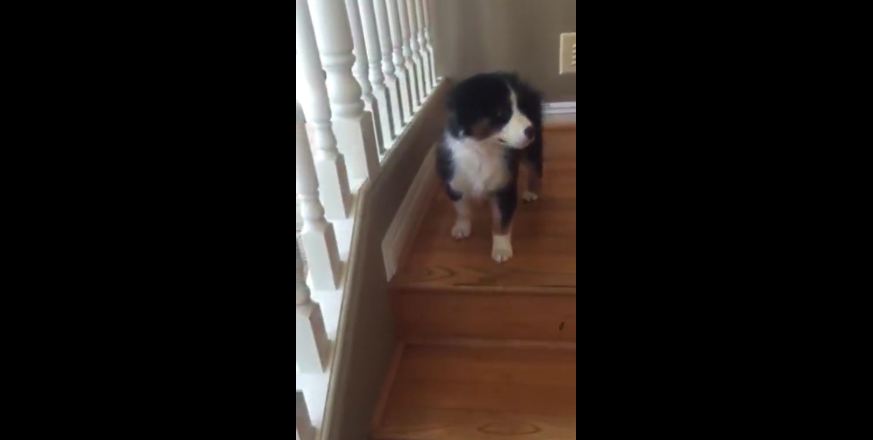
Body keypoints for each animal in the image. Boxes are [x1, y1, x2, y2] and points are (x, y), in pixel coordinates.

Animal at [440, 72, 540, 262]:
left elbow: (501, 220)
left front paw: (501, 249)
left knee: (534, 168)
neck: (483, 149)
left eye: (521, 109)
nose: (531, 130)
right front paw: (462, 227)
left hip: (531, 150)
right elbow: (462, 208)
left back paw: (531, 192)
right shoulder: (453, 180)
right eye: (501, 113)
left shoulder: (505, 186)